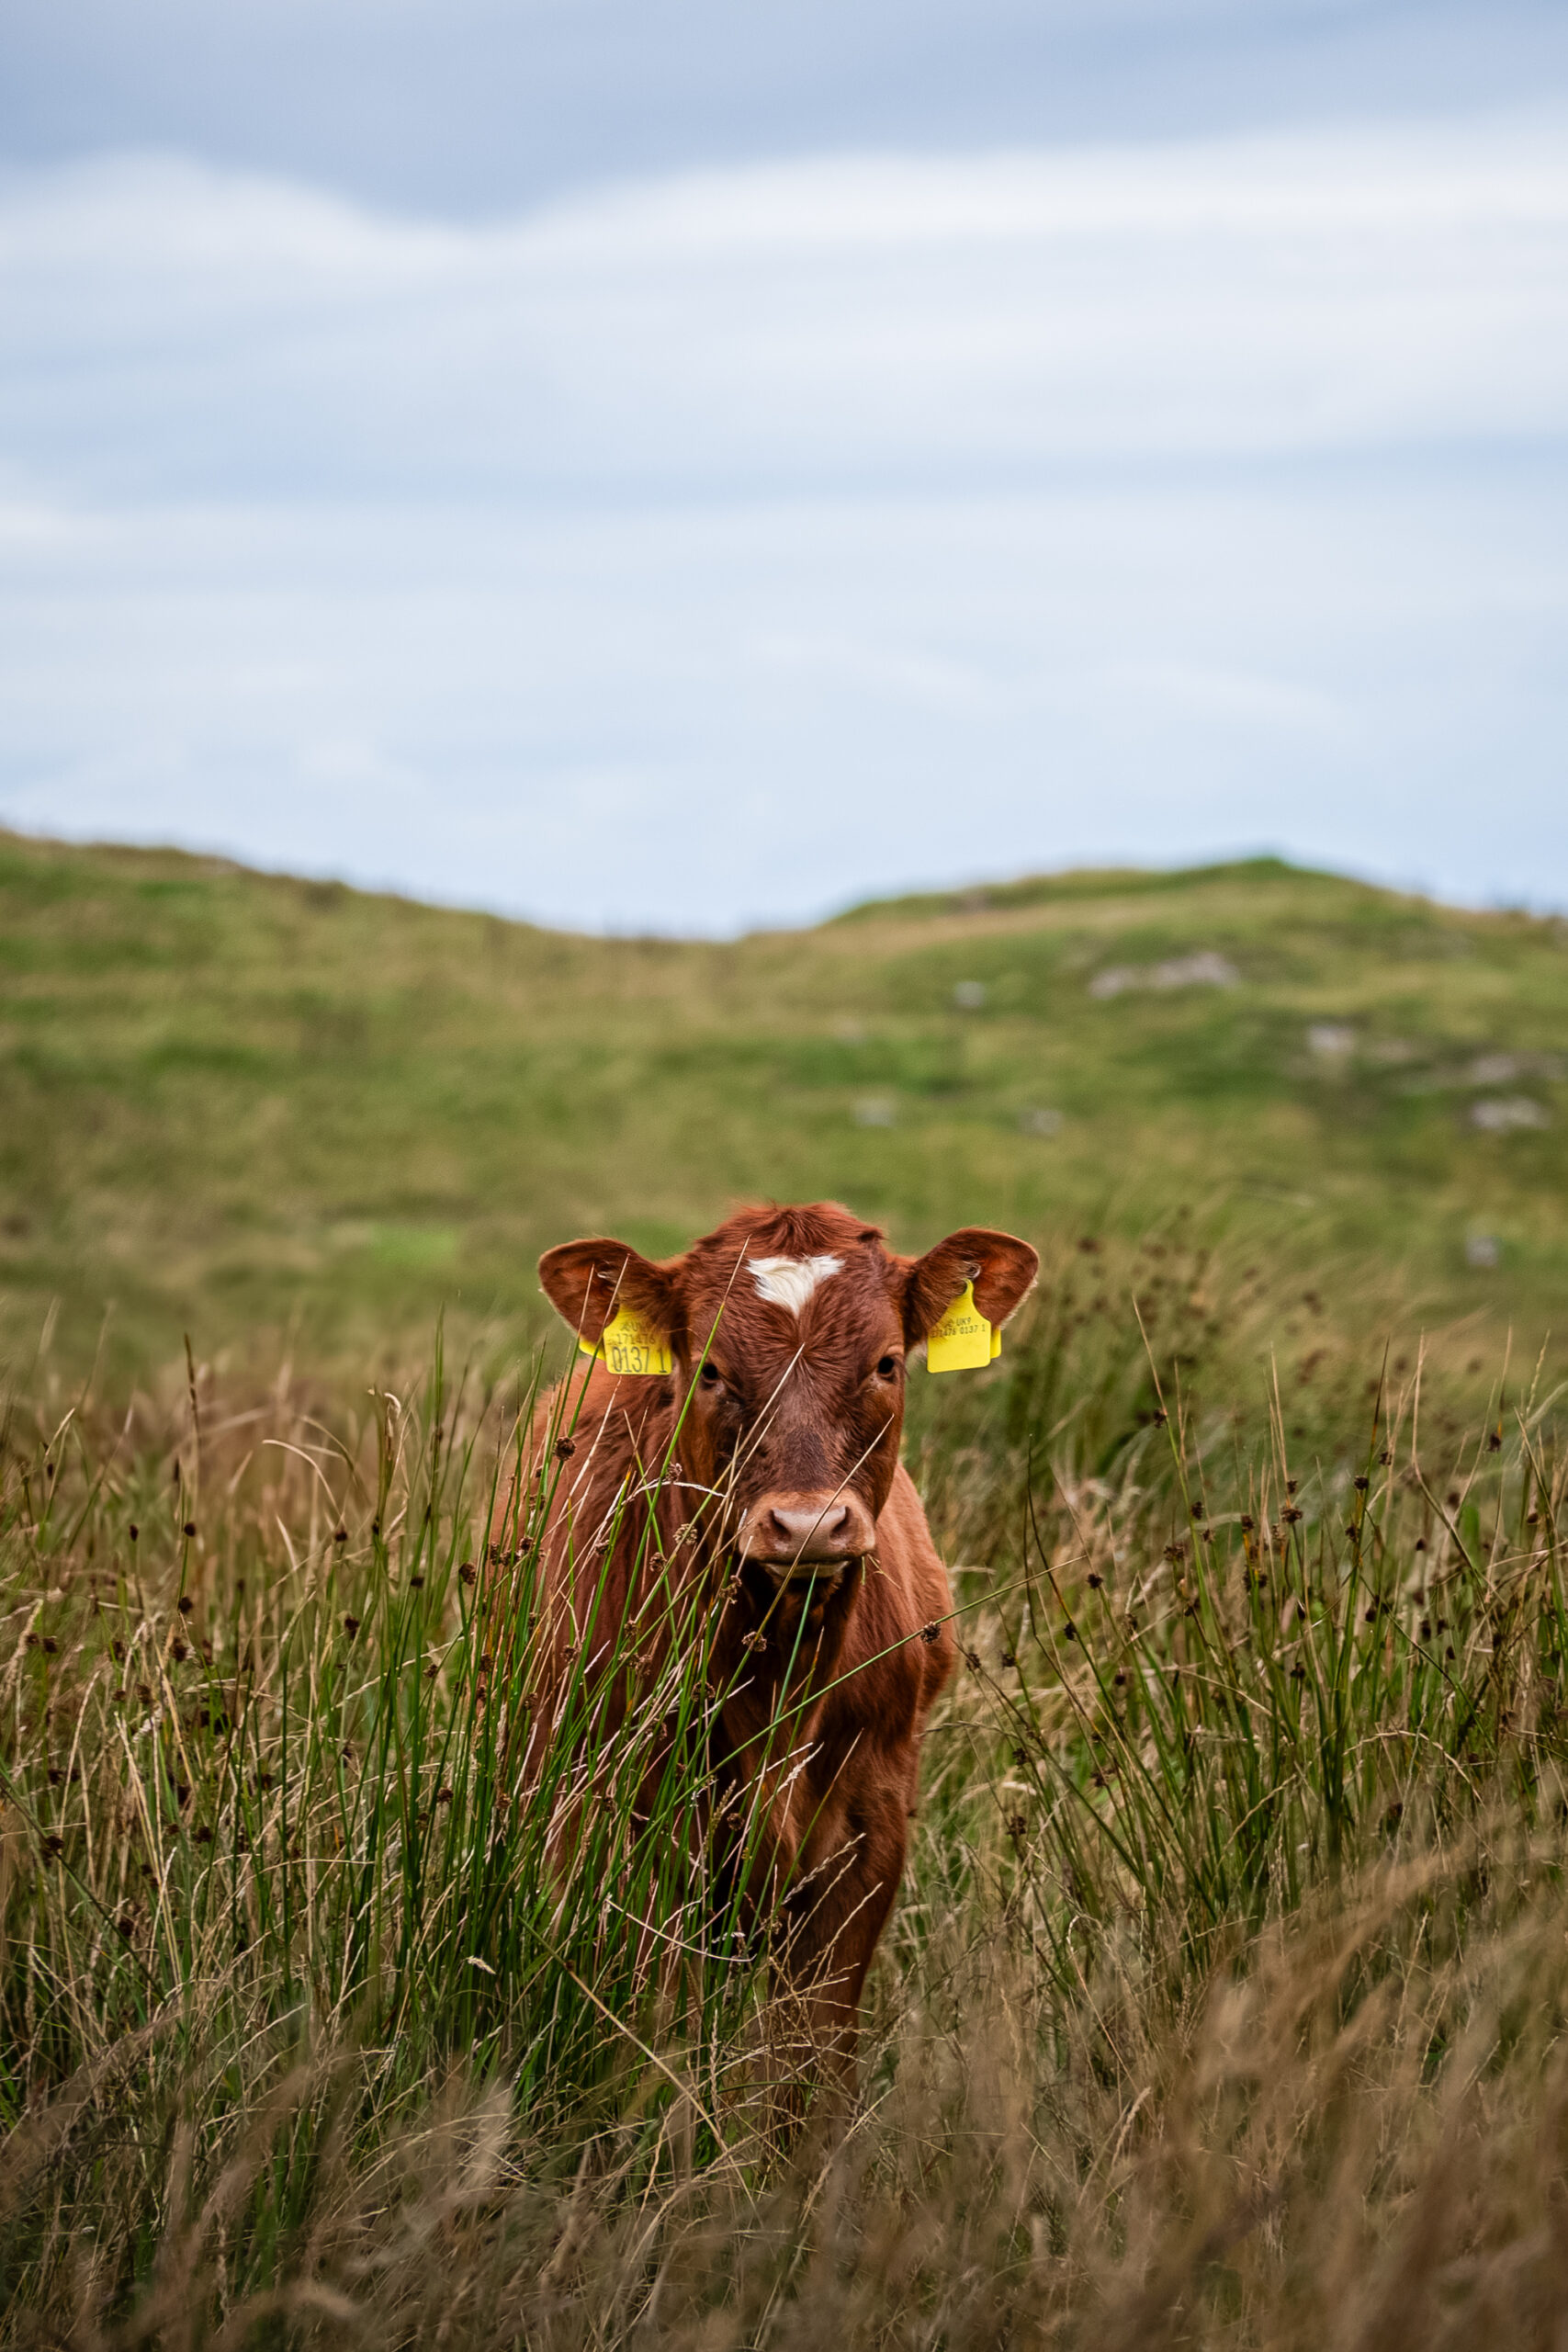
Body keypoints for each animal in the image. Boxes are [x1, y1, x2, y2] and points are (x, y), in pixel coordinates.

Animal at [494, 1200, 1038, 2084]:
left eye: (887, 1363)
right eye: (710, 1371)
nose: (807, 1525)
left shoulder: (869, 1834)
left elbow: (807, 2062)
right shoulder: (641, 1826)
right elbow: (665, 2028)